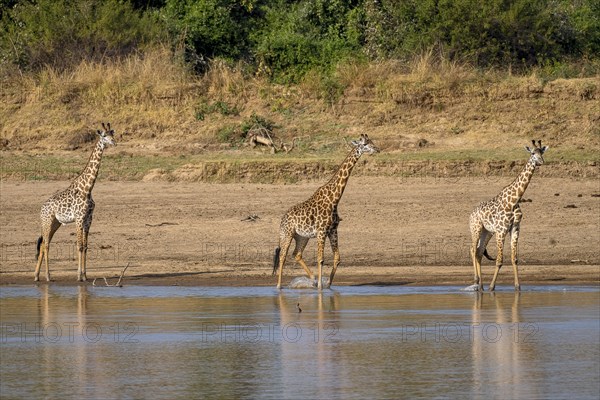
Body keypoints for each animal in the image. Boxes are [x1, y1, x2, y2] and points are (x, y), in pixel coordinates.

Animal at [34, 122, 116, 282]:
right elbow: (79, 245)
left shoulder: (88, 219)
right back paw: (48, 276)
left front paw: (85, 275)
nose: (114, 143)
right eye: (104, 136)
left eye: (112, 134)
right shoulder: (79, 218)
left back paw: (36, 276)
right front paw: (79, 276)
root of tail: (41, 208)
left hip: (56, 223)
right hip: (47, 221)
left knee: (43, 245)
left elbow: (85, 246)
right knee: (46, 245)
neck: (88, 188)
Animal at [274, 133, 378, 290]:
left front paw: (327, 284)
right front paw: (320, 288)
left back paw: (312, 279)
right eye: (364, 144)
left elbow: (337, 258)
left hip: (302, 237)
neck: (334, 199)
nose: (377, 149)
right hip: (287, 233)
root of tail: (282, 219)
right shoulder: (322, 231)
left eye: (371, 141)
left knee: (297, 254)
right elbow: (321, 259)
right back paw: (279, 286)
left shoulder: (333, 230)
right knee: (282, 256)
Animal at [468, 141, 548, 290]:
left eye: (542, 152)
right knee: (472, 249)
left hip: (487, 232)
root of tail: (471, 214)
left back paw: (481, 285)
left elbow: (514, 259)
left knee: (479, 252)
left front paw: (517, 286)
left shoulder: (515, 229)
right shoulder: (501, 231)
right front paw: (492, 287)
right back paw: (476, 280)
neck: (514, 201)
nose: (541, 161)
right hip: (476, 228)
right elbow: (499, 261)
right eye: (532, 153)